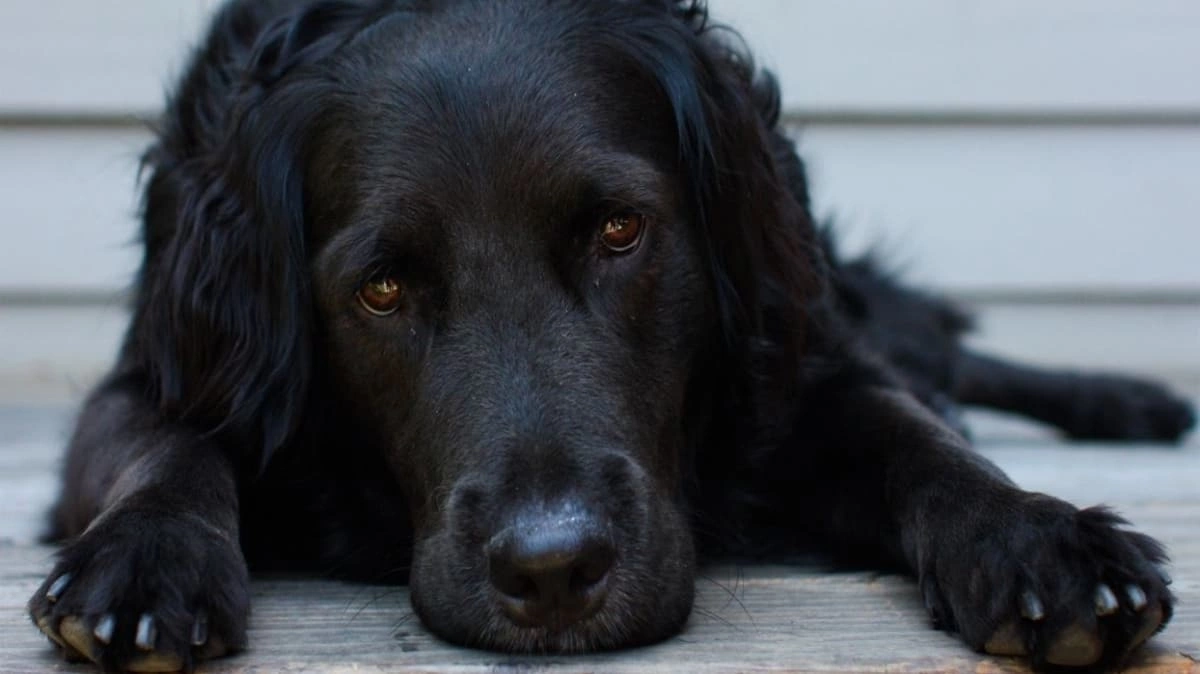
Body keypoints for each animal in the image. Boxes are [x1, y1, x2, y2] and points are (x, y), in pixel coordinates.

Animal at [25, 2, 1190, 666]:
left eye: (620, 230)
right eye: (383, 288)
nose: (552, 570)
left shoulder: (800, 365)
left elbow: (916, 435)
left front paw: (1037, 534)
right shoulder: (161, 368)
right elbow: (166, 447)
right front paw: (146, 560)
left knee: (943, 354)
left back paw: (1131, 399)